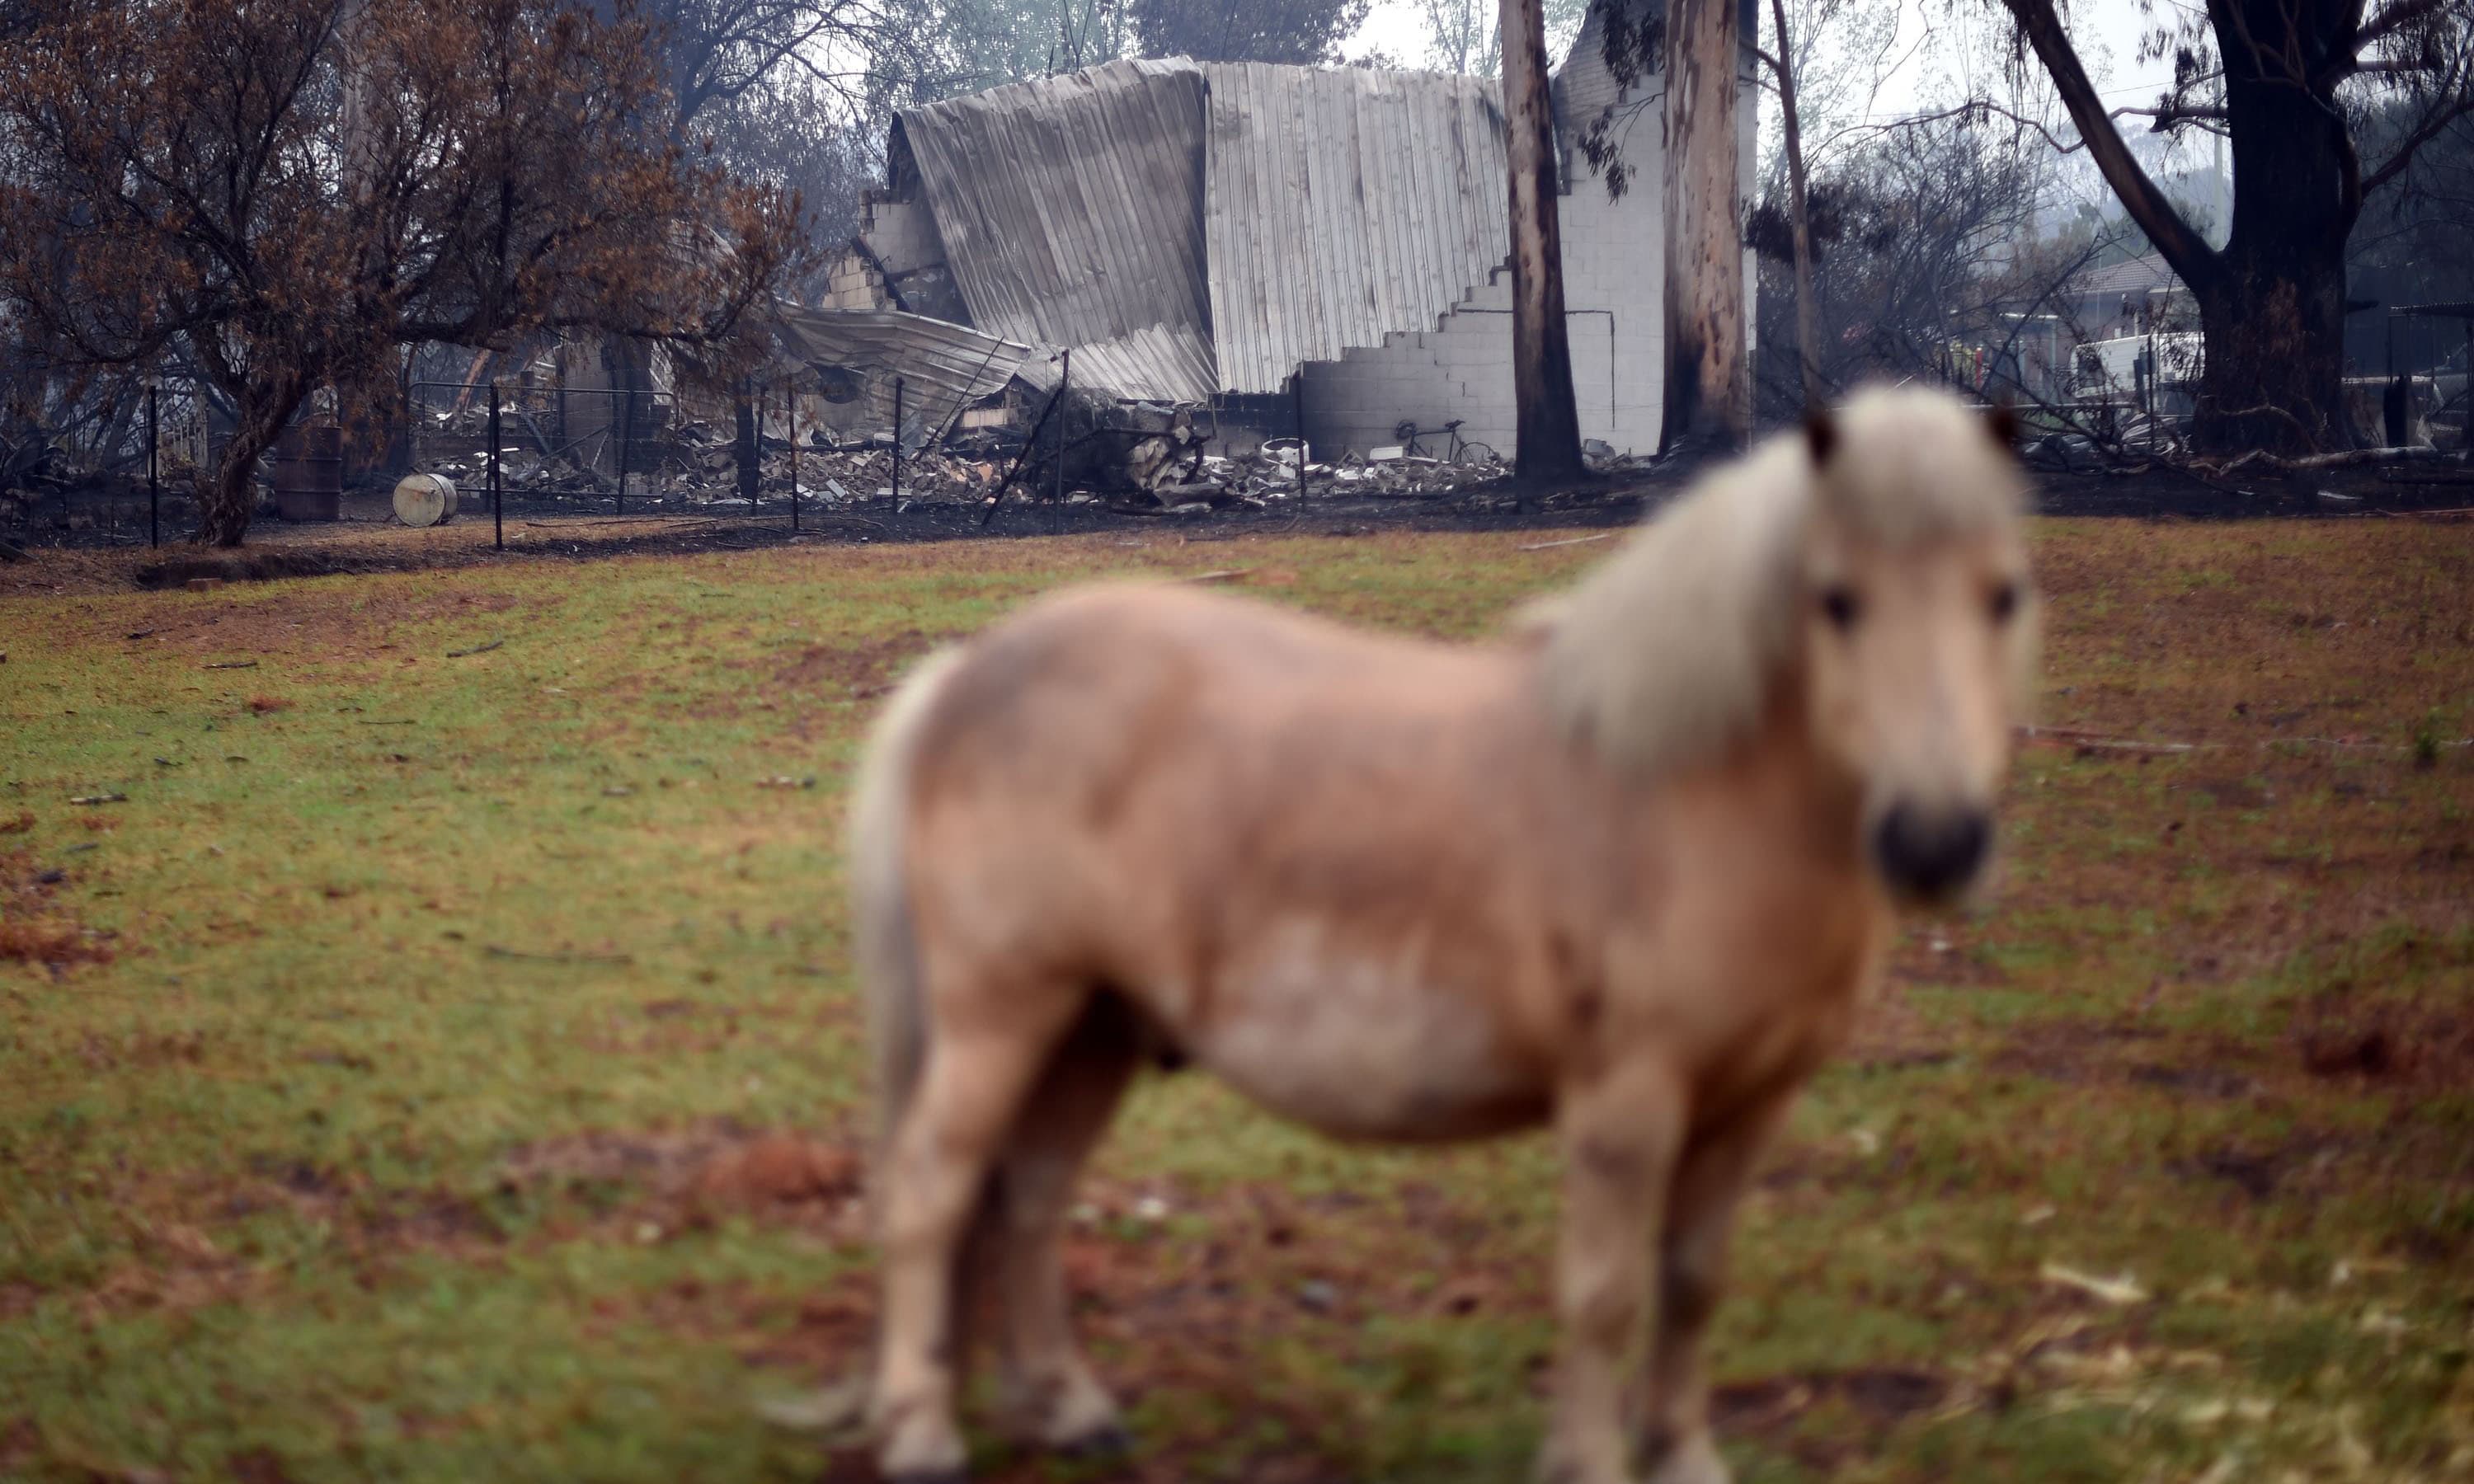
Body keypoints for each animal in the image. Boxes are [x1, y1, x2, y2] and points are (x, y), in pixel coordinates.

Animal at [841, 388, 2039, 1474]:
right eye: (1836, 600)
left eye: (2005, 595)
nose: (1935, 841)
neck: (1688, 792)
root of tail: (966, 671)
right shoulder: (1626, 1102)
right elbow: (1605, 1296)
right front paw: (1588, 1462)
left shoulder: (1752, 1104)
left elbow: (1694, 1284)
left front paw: (1684, 1458)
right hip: (1004, 1015)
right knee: (932, 1193)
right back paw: (924, 1437)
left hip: (1093, 1025)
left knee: (1030, 1196)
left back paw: (1066, 1409)